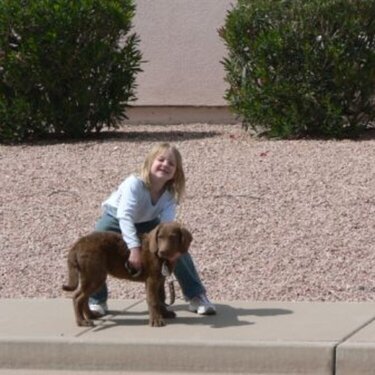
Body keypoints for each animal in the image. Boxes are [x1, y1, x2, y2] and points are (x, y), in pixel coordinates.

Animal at [62, 222, 192, 328]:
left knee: (83, 297)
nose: (162, 252)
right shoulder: (152, 280)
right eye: (160, 237)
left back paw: (91, 315)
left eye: (173, 237)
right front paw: (156, 321)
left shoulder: (160, 280)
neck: (161, 259)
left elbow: (161, 298)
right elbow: (153, 301)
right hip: (95, 276)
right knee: (77, 297)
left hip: (92, 276)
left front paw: (164, 314)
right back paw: (82, 322)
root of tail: (77, 245)